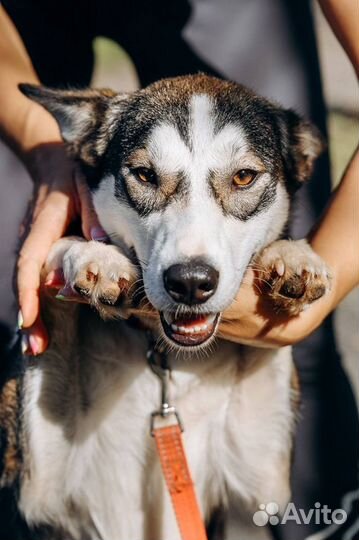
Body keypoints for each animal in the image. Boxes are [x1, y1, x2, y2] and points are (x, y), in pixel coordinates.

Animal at [0, 75, 332, 540]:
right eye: (145, 174)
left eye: (244, 177)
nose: (190, 282)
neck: (170, 363)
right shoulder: (38, 496)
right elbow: (53, 278)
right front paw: (90, 254)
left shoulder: (255, 494)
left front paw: (292, 254)